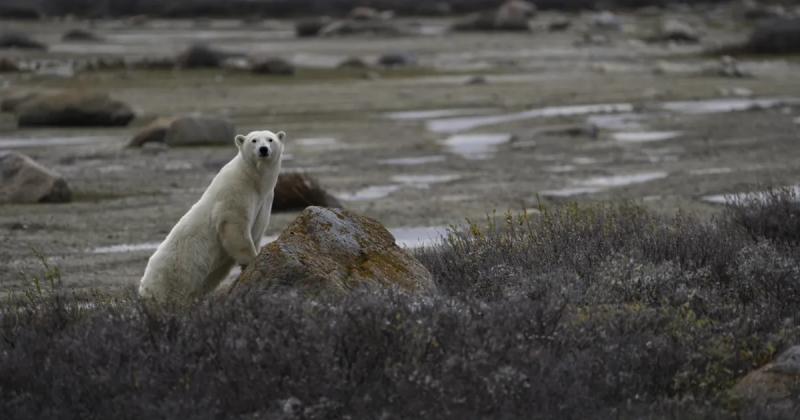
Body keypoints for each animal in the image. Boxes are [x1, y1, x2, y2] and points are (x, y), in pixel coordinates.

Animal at [139, 130, 286, 304]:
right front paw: (252, 259)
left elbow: (257, 229)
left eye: (270, 139)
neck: (253, 179)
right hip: (171, 276)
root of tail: (144, 287)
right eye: (254, 140)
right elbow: (235, 225)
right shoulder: (235, 191)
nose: (263, 149)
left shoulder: (265, 200)